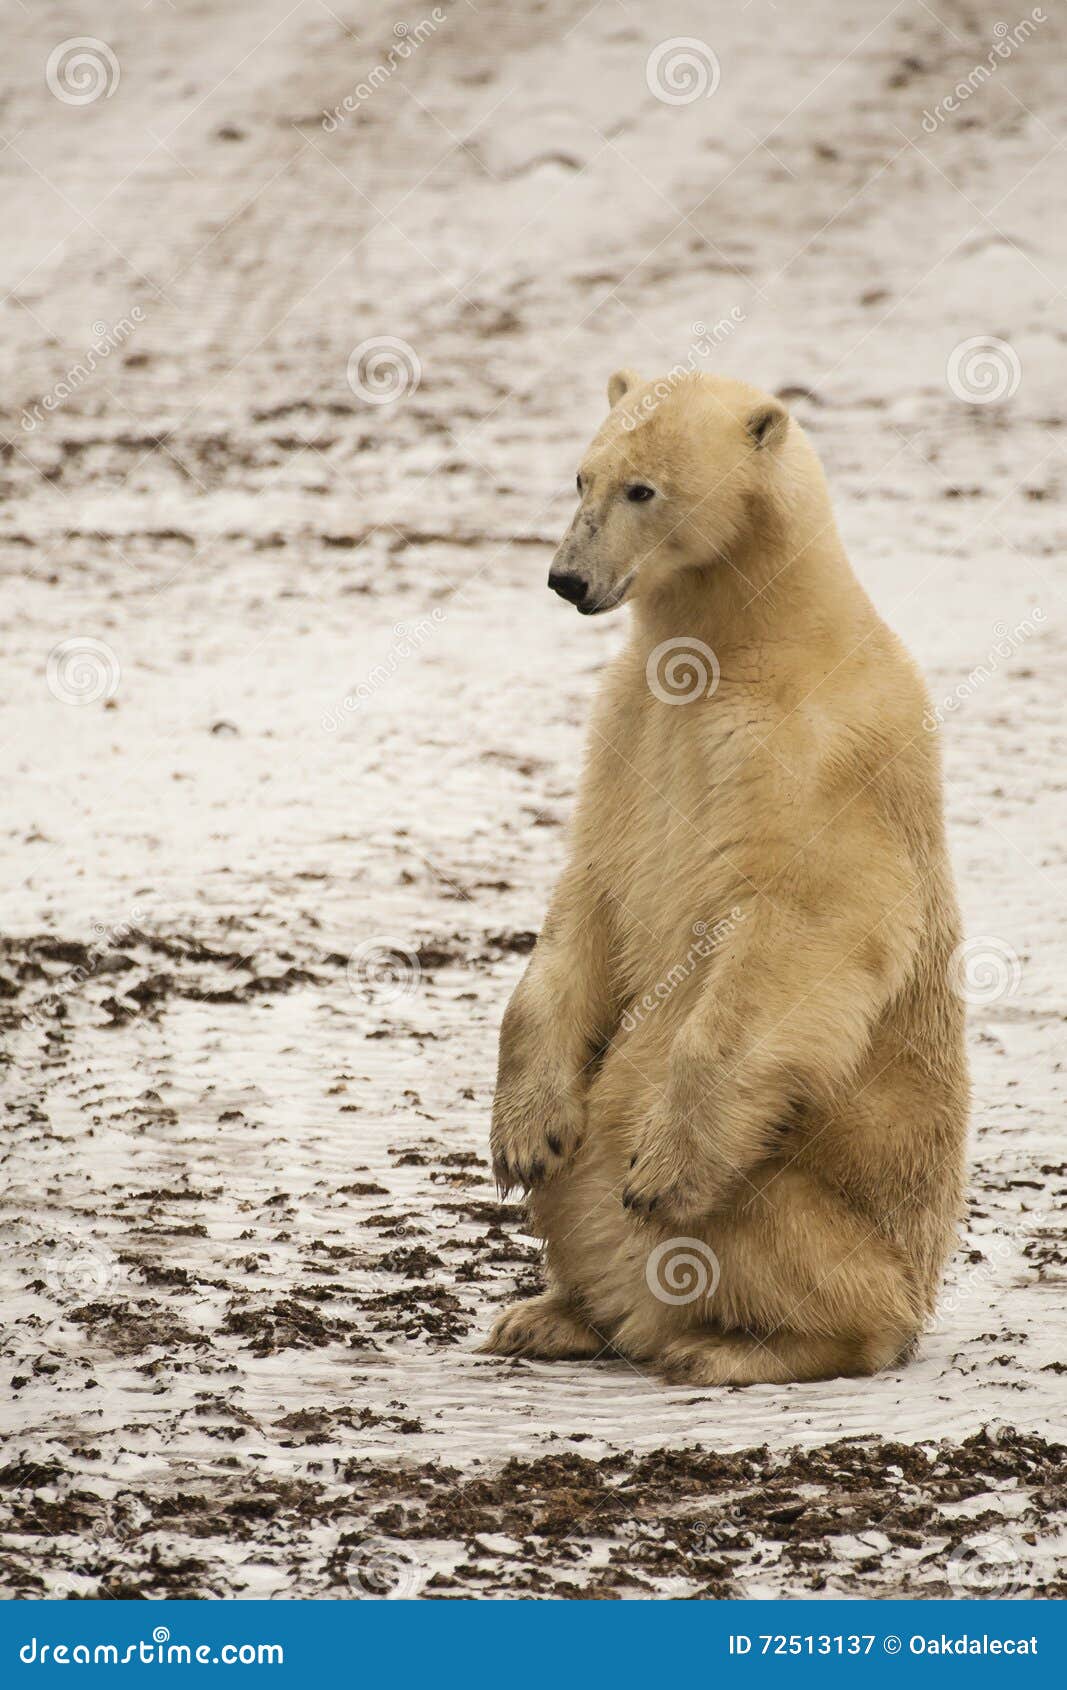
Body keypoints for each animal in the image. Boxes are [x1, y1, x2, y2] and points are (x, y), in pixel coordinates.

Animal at [486, 363, 973, 1379]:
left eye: (643, 490)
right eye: (580, 477)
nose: (566, 578)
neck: (749, 641)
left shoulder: (821, 752)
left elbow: (807, 923)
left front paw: (663, 1168)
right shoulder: (628, 727)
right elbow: (589, 890)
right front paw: (524, 1136)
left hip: (814, 1203)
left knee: (761, 1236)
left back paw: (726, 1346)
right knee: (581, 1177)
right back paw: (551, 1315)